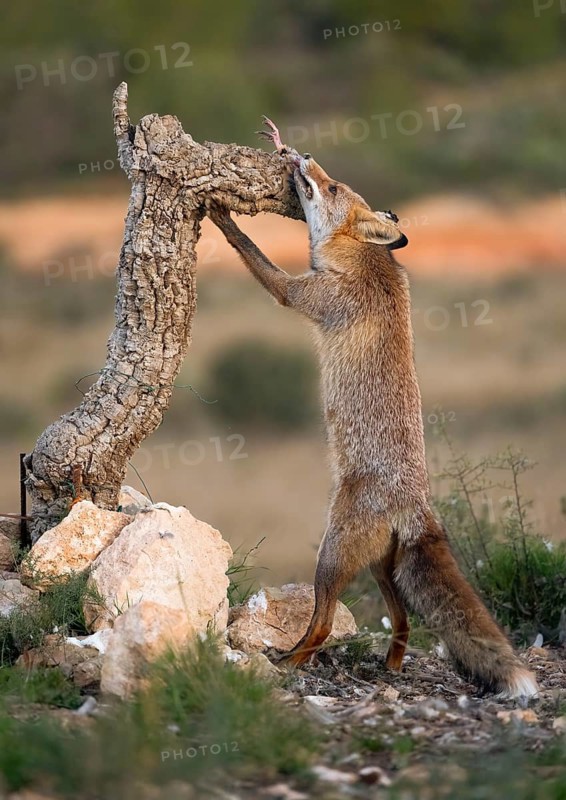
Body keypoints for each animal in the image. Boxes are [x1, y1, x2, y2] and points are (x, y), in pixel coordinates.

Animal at [206, 118, 538, 699]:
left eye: (334, 186)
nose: (302, 155)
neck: (368, 259)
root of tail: (417, 503)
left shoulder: (300, 295)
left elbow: (252, 251)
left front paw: (223, 217)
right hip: (382, 567)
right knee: (401, 620)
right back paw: (388, 667)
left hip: (331, 554)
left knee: (321, 624)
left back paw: (290, 663)